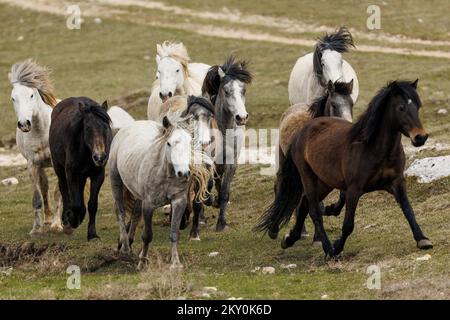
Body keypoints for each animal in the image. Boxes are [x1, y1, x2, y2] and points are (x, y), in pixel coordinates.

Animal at [7, 59, 62, 235]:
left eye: (31, 95)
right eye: (13, 98)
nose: (24, 124)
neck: (41, 132)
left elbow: (58, 192)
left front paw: (57, 225)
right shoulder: (33, 165)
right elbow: (37, 197)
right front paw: (36, 229)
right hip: (41, 166)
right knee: (44, 187)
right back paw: (47, 220)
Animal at [48, 97, 112, 240]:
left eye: (105, 127)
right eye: (87, 128)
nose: (99, 157)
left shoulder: (98, 174)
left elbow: (92, 204)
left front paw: (92, 234)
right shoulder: (71, 172)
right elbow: (75, 203)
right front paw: (72, 220)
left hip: (82, 175)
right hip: (59, 168)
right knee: (64, 190)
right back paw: (67, 220)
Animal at [260, 80, 432, 258]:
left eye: (417, 107)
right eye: (401, 108)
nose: (420, 137)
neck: (375, 149)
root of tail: (302, 130)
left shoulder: (397, 182)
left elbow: (408, 209)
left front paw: (422, 239)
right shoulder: (354, 189)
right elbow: (348, 224)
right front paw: (336, 248)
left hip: (324, 182)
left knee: (304, 204)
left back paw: (289, 239)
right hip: (307, 176)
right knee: (313, 210)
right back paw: (326, 248)